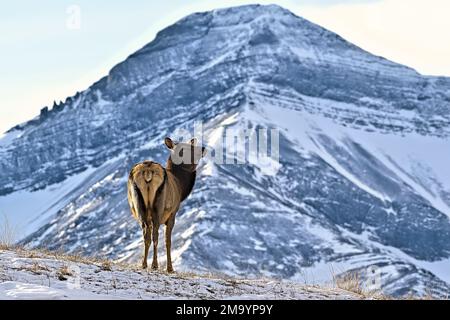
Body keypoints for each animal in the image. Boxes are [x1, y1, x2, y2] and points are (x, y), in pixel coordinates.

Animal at [127, 136, 207, 272]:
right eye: (185, 149)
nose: (203, 148)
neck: (181, 186)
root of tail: (148, 171)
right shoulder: (173, 212)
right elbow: (168, 240)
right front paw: (170, 268)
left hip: (139, 205)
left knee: (145, 234)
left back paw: (144, 264)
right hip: (159, 206)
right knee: (155, 235)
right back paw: (155, 265)